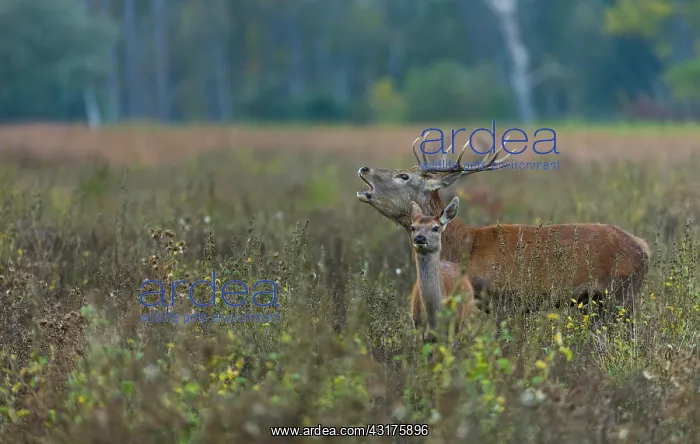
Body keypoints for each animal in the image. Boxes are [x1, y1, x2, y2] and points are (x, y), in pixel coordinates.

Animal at [356, 133, 651, 326]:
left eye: (403, 176)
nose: (364, 168)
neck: (464, 248)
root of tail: (644, 247)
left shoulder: (503, 299)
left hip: (622, 292)